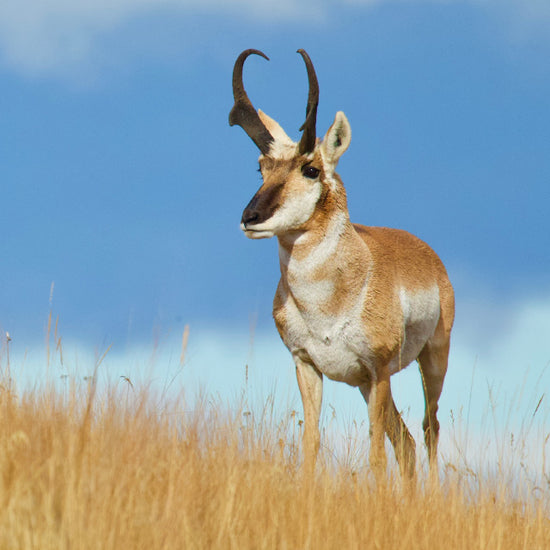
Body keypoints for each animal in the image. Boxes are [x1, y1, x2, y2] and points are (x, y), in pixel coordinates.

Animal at [231, 50, 454, 478]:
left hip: (431, 360)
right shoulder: (307, 366)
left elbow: (375, 455)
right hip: (367, 384)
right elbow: (311, 443)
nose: (250, 218)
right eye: (261, 168)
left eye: (311, 169)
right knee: (407, 443)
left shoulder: (378, 369)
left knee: (429, 428)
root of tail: (426, 252)